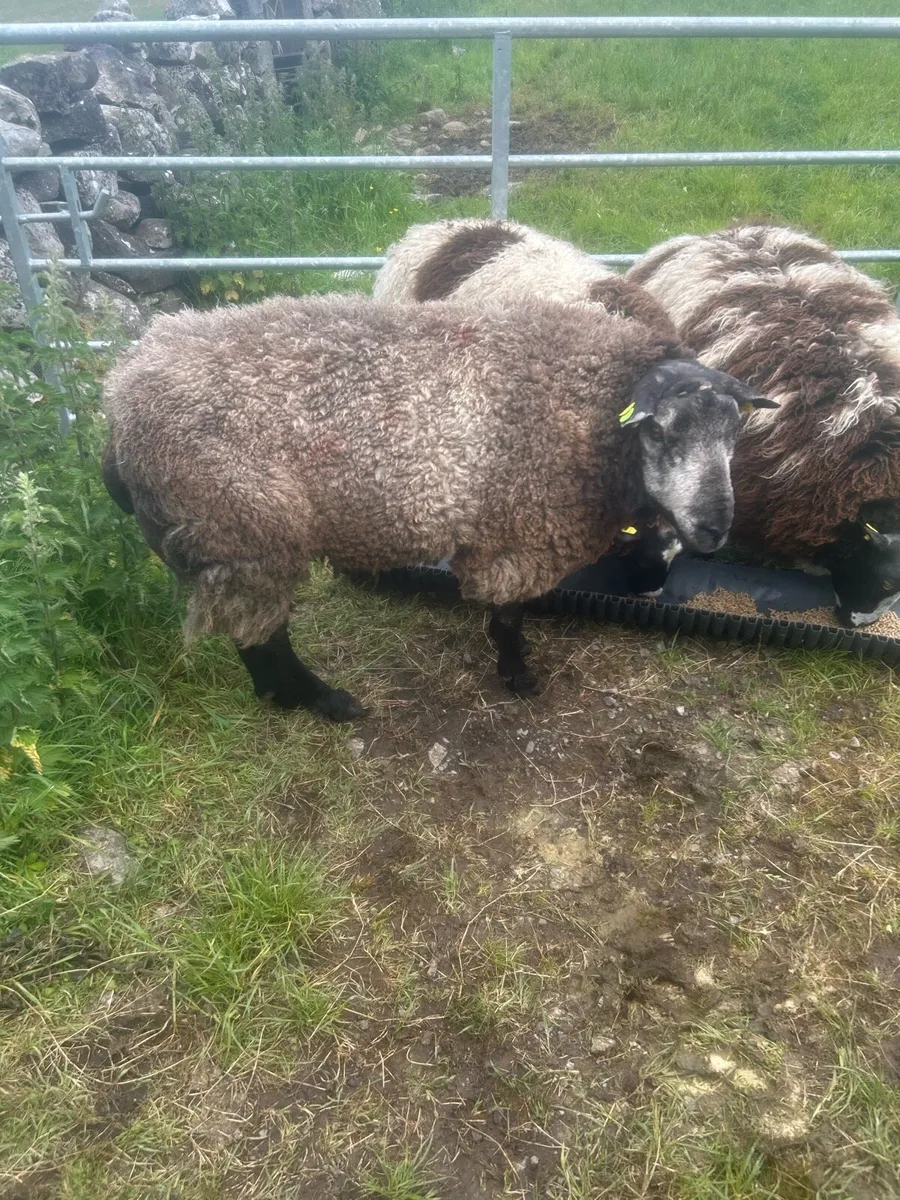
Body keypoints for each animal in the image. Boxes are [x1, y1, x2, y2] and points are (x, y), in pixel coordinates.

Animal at [101, 292, 772, 721]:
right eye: (659, 431)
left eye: (735, 433)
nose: (714, 528)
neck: (588, 407)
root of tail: (119, 398)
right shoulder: (519, 530)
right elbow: (509, 616)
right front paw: (518, 676)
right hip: (242, 528)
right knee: (260, 636)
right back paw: (320, 703)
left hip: (235, 539)